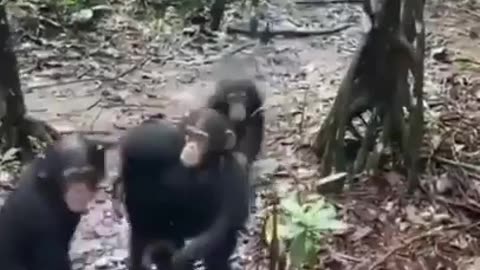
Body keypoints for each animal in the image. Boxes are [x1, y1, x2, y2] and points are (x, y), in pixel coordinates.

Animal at [119, 107, 251, 270]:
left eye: (202, 138)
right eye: (190, 134)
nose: (191, 146)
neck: (204, 165)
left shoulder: (235, 173)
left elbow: (224, 222)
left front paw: (183, 257)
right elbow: (141, 141)